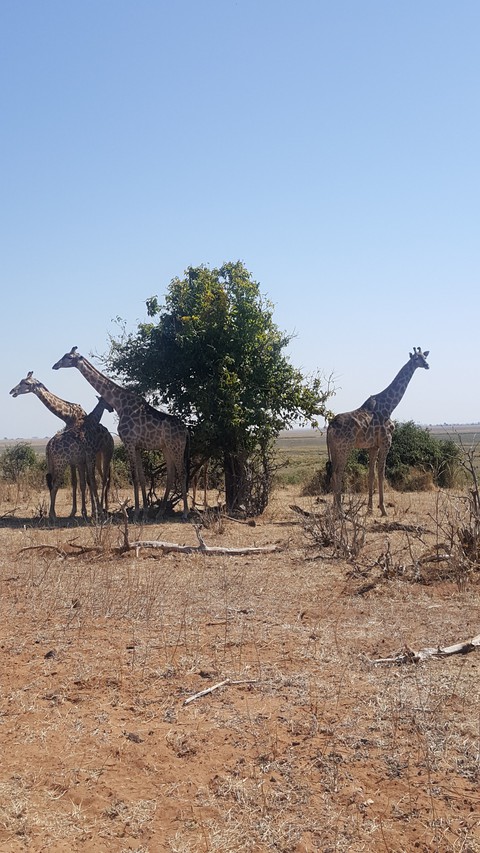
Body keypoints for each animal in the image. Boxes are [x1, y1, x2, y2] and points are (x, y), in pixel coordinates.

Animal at [52, 347, 190, 519]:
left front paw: (136, 513)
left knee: (182, 473)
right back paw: (160, 512)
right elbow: (142, 478)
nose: (55, 366)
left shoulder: (129, 442)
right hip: (166, 448)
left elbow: (134, 477)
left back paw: (185, 512)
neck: (121, 404)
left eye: (68, 357)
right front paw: (144, 512)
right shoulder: (136, 445)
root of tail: (186, 430)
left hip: (177, 447)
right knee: (171, 475)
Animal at [327, 347, 430, 516]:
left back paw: (335, 510)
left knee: (333, 474)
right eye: (416, 358)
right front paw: (383, 509)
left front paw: (370, 509)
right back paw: (341, 512)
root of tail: (330, 426)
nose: (427, 365)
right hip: (344, 448)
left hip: (334, 449)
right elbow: (381, 473)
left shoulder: (373, 446)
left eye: (424, 357)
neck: (390, 406)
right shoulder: (386, 442)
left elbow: (371, 474)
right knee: (338, 473)